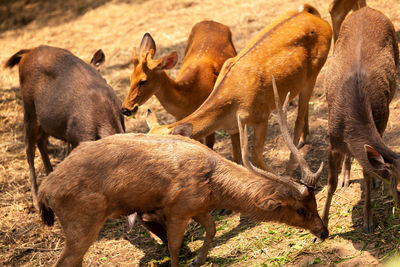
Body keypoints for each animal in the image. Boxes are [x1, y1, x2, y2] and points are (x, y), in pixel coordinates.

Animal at [3, 45, 124, 210]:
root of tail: (27, 52)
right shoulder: (76, 135)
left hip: (45, 121)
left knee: (41, 141)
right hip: (29, 109)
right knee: (29, 149)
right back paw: (35, 200)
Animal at [38, 78, 328, 267]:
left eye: (315, 202)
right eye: (300, 209)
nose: (324, 232)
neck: (215, 187)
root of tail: (44, 190)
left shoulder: (197, 206)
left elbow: (211, 228)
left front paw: (199, 260)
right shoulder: (176, 208)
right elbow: (174, 247)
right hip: (81, 222)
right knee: (65, 262)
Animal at [149, 4, 332, 174]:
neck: (229, 109)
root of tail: (313, 15)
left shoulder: (262, 116)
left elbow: (255, 157)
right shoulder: (234, 128)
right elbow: (237, 158)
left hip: (316, 70)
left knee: (299, 117)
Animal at [322, 6, 400, 234]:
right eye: (399, 187)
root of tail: (366, 8)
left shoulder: (381, 119)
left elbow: (366, 173)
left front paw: (368, 222)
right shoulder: (332, 143)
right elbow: (330, 183)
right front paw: (322, 229)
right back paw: (346, 178)